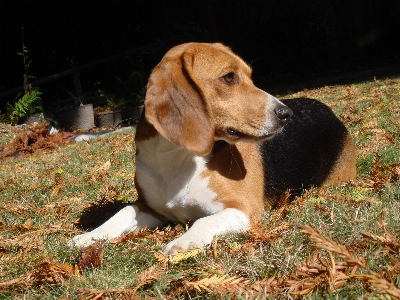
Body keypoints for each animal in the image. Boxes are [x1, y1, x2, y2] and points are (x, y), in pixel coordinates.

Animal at [69, 42, 356, 253]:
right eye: (228, 78)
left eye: (250, 77)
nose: (286, 114)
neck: (178, 158)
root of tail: (325, 108)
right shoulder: (152, 210)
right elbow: (123, 212)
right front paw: (90, 236)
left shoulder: (245, 208)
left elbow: (204, 219)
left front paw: (183, 241)